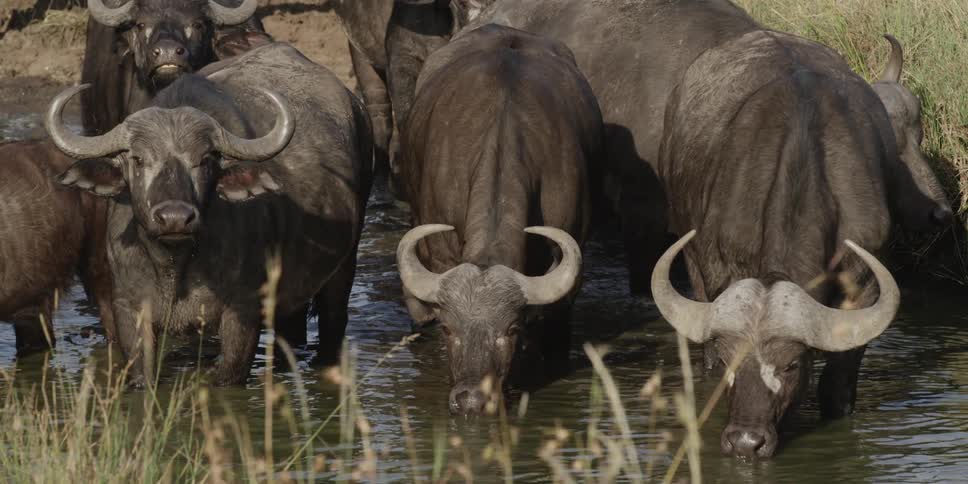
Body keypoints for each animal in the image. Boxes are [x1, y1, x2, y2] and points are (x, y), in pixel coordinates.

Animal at [46, 42, 372, 385]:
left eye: (203, 160)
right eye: (138, 160)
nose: (175, 218)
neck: (175, 266)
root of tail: (356, 108)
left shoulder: (242, 314)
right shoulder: (128, 309)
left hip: (345, 264)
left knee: (333, 320)